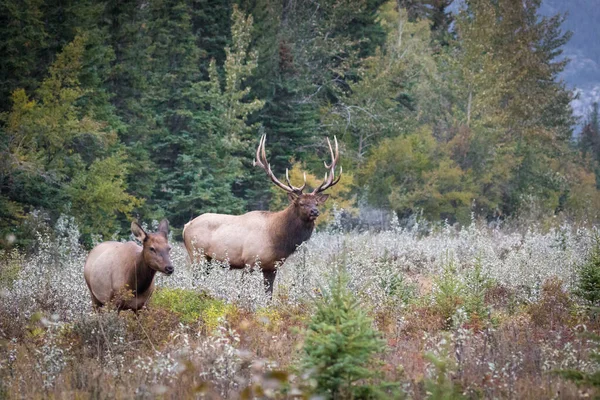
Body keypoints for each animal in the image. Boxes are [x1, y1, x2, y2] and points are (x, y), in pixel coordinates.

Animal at [182, 135, 342, 296]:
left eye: (316, 203)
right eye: (301, 203)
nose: (315, 212)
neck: (278, 239)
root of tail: (186, 226)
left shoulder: (272, 267)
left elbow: (269, 294)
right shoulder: (249, 261)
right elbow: (243, 293)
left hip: (208, 260)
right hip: (197, 254)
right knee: (194, 281)